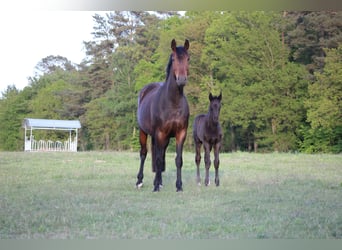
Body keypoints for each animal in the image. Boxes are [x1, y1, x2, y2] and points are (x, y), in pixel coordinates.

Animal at [136, 38, 190, 191]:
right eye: (174, 58)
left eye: (188, 58)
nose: (181, 79)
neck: (172, 103)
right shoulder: (160, 133)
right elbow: (158, 160)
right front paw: (155, 187)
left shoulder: (180, 133)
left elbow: (178, 160)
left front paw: (179, 186)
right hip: (143, 132)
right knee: (144, 153)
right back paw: (140, 181)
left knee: (160, 154)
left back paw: (159, 181)